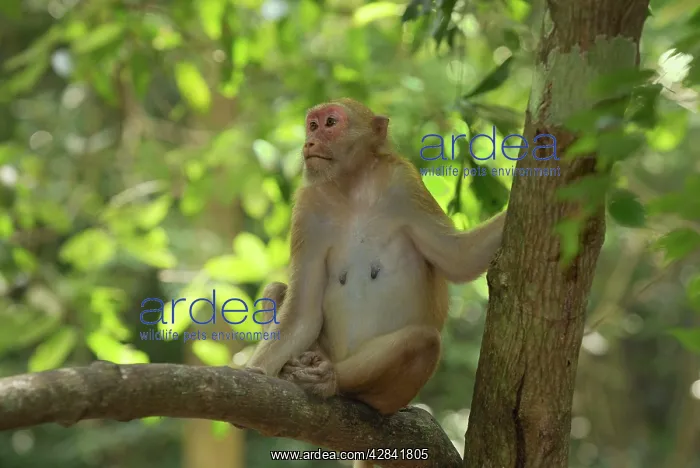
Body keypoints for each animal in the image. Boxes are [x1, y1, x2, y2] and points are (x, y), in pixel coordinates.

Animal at [242, 98, 506, 467]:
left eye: (331, 123)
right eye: (312, 125)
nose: (310, 142)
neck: (352, 189)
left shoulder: (403, 183)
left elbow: (459, 258)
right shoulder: (308, 208)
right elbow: (302, 314)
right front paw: (255, 374)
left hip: (392, 398)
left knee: (423, 341)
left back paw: (331, 380)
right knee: (278, 291)